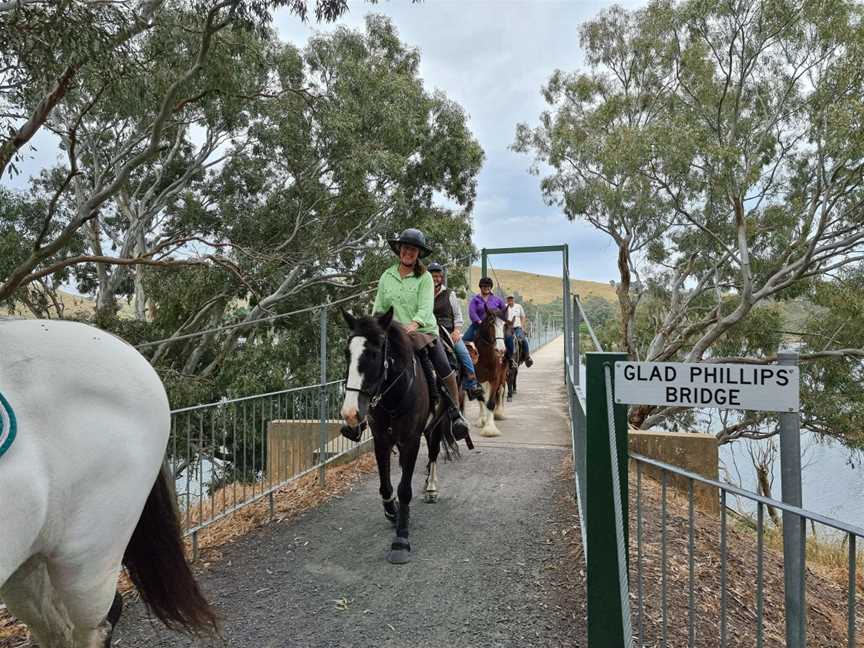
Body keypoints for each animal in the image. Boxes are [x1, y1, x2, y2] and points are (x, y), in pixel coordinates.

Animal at [340, 308, 456, 560]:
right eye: (347, 353)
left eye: (374, 354)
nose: (351, 413)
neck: (394, 393)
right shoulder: (381, 439)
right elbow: (385, 484)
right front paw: (392, 512)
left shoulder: (411, 440)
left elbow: (404, 489)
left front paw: (401, 538)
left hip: (436, 424)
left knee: (433, 452)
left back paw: (431, 488)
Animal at [470, 306, 510, 438]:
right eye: (491, 323)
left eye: (504, 325)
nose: (501, 350)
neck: (486, 356)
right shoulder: (478, 378)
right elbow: (481, 399)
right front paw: (482, 420)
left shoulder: (494, 378)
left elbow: (491, 402)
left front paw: (490, 428)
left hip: (502, 377)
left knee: (501, 391)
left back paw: (499, 413)